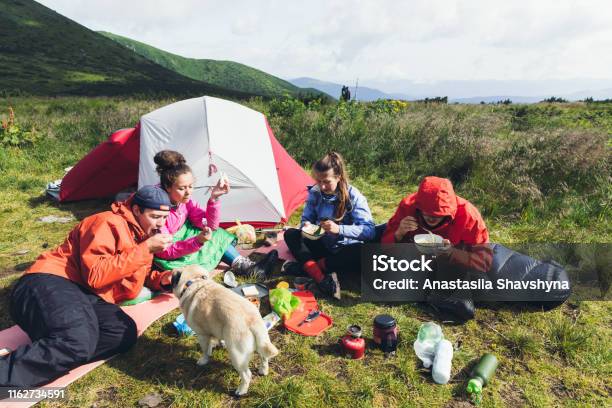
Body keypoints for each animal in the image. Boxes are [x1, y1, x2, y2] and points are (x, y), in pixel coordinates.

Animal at [171, 264, 278, 396]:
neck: (195, 281)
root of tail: (251, 320)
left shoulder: (202, 335)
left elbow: (205, 350)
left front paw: (204, 359)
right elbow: (216, 340)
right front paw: (220, 344)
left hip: (237, 355)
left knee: (246, 375)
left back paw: (241, 391)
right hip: (262, 341)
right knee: (264, 357)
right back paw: (263, 370)